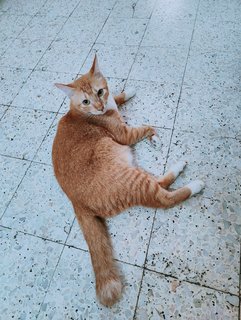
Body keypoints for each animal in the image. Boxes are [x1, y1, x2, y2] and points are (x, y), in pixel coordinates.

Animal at [51, 55, 204, 308]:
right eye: (86, 101)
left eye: (100, 91)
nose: (100, 107)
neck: (83, 113)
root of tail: (75, 201)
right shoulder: (124, 135)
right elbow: (147, 126)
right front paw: (154, 136)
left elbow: (119, 97)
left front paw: (126, 92)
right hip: (128, 171)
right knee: (164, 198)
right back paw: (192, 183)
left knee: (160, 181)